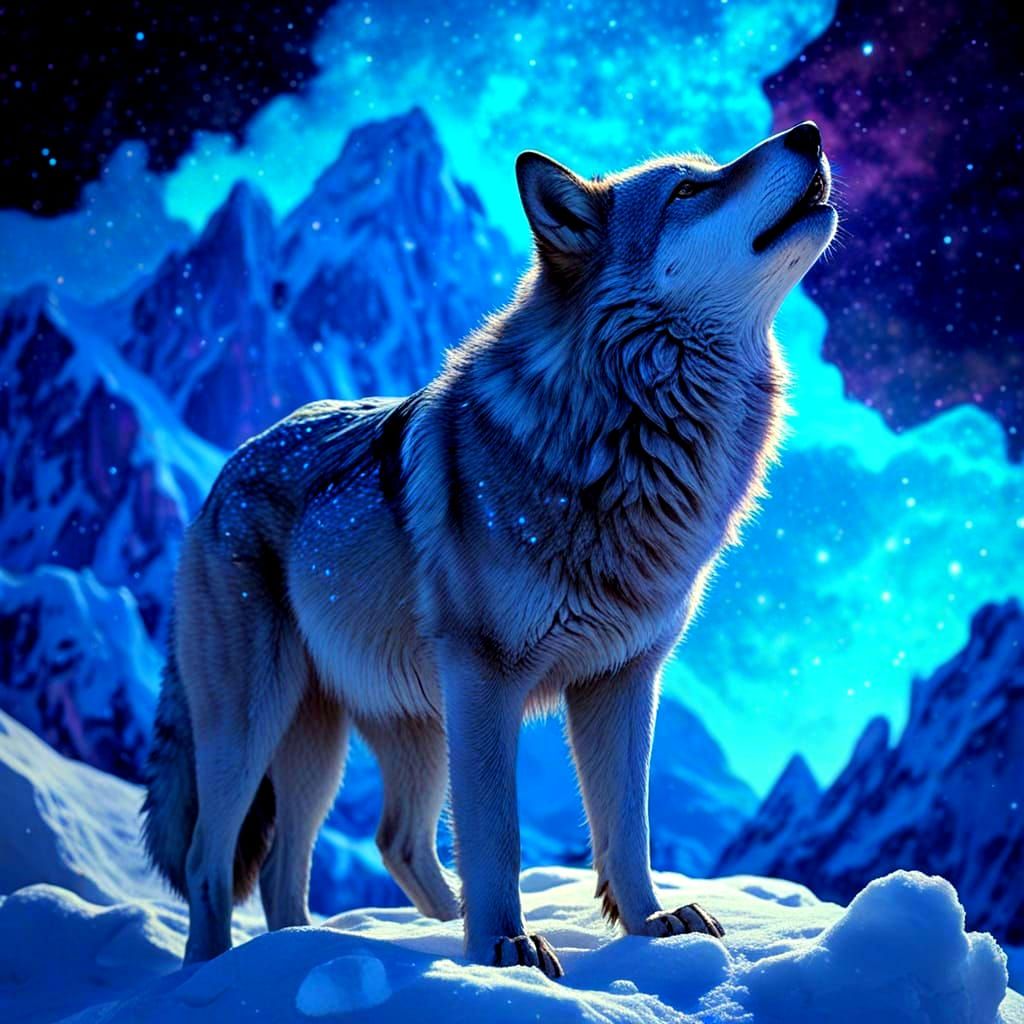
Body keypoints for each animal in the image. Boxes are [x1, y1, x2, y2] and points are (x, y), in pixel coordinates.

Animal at [143, 121, 836, 975]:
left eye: (711, 171)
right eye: (687, 191)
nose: (808, 132)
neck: (620, 436)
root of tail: (220, 475)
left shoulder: (624, 678)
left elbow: (627, 828)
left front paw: (651, 925)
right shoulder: (487, 679)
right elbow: (499, 835)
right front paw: (506, 946)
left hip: (364, 735)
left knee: (345, 854)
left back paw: (338, 948)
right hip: (257, 725)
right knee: (213, 862)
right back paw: (221, 972)